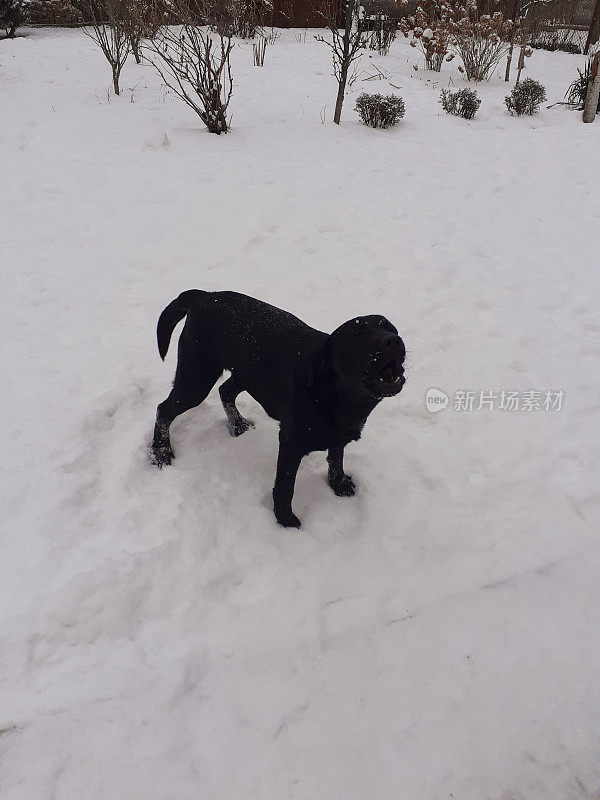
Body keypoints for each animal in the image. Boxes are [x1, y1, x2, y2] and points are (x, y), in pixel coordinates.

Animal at [150, 290, 406, 528]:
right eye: (357, 335)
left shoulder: (338, 435)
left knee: (225, 390)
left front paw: (339, 484)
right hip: (197, 377)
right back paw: (160, 452)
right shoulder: (290, 443)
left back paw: (237, 424)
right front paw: (285, 520)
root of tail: (203, 296)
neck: (339, 397)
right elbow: (285, 486)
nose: (394, 340)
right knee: (164, 409)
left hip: (247, 374)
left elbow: (336, 459)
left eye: (388, 326)